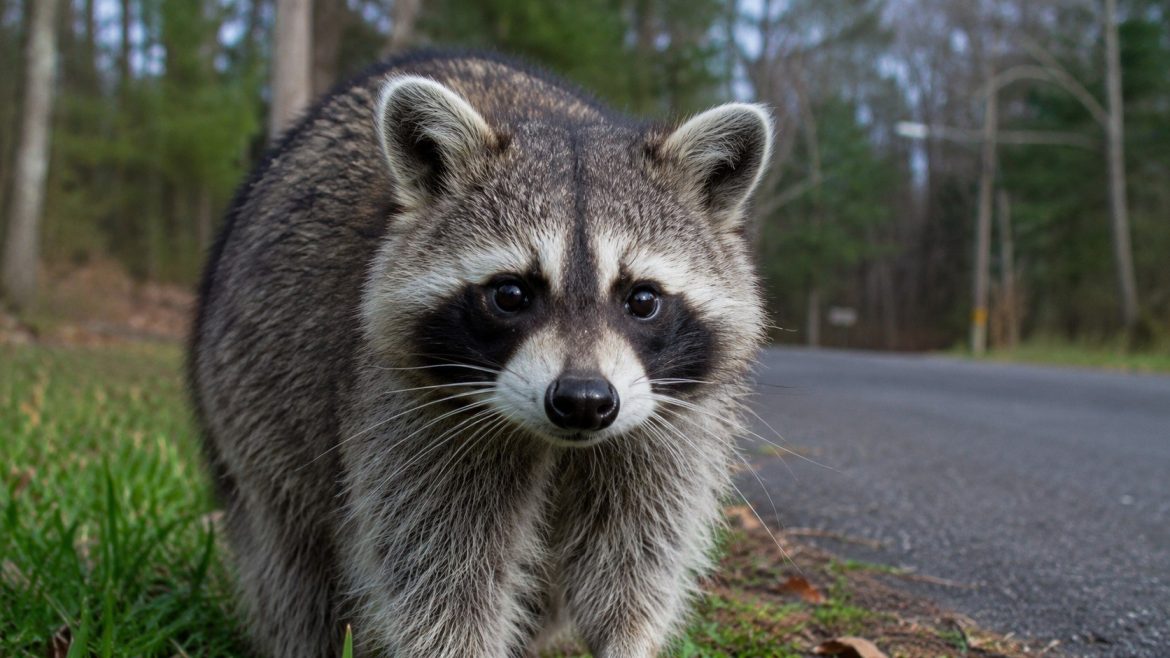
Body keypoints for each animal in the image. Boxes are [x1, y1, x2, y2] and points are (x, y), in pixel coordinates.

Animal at [190, 51, 772, 658]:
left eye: (642, 299)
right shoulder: (410, 417)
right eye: (511, 295)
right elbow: (440, 579)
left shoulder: (670, 426)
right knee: (292, 562)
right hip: (252, 409)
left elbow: (635, 561)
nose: (584, 401)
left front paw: (627, 641)